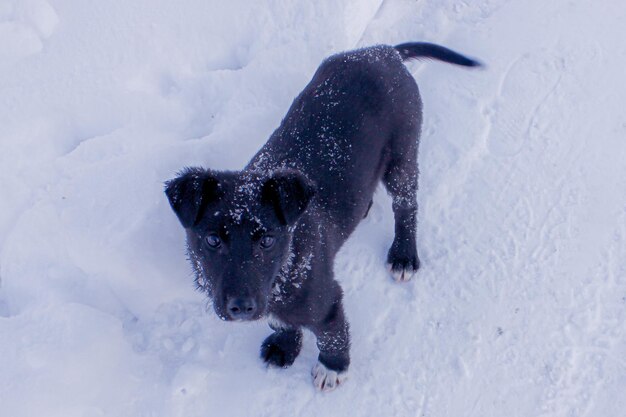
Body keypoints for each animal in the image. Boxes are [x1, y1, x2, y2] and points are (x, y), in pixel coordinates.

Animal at [165, 42, 478, 390]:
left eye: (267, 240)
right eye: (212, 240)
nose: (241, 307)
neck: (284, 265)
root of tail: (385, 51)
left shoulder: (327, 301)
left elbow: (332, 335)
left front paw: (333, 368)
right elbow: (282, 322)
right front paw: (285, 346)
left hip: (403, 153)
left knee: (406, 206)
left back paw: (403, 256)